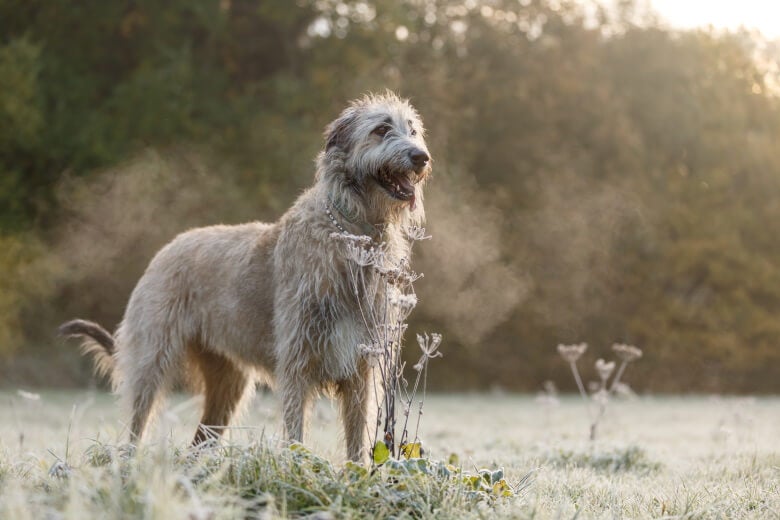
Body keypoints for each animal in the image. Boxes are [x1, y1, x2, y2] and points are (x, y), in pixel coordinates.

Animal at [61, 91, 432, 462]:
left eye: (412, 130)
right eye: (381, 129)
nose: (421, 157)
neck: (353, 235)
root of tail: (165, 251)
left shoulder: (361, 368)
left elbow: (357, 437)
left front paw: (357, 473)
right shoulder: (297, 361)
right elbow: (295, 430)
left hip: (227, 382)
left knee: (202, 438)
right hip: (152, 358)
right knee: (138, 420)